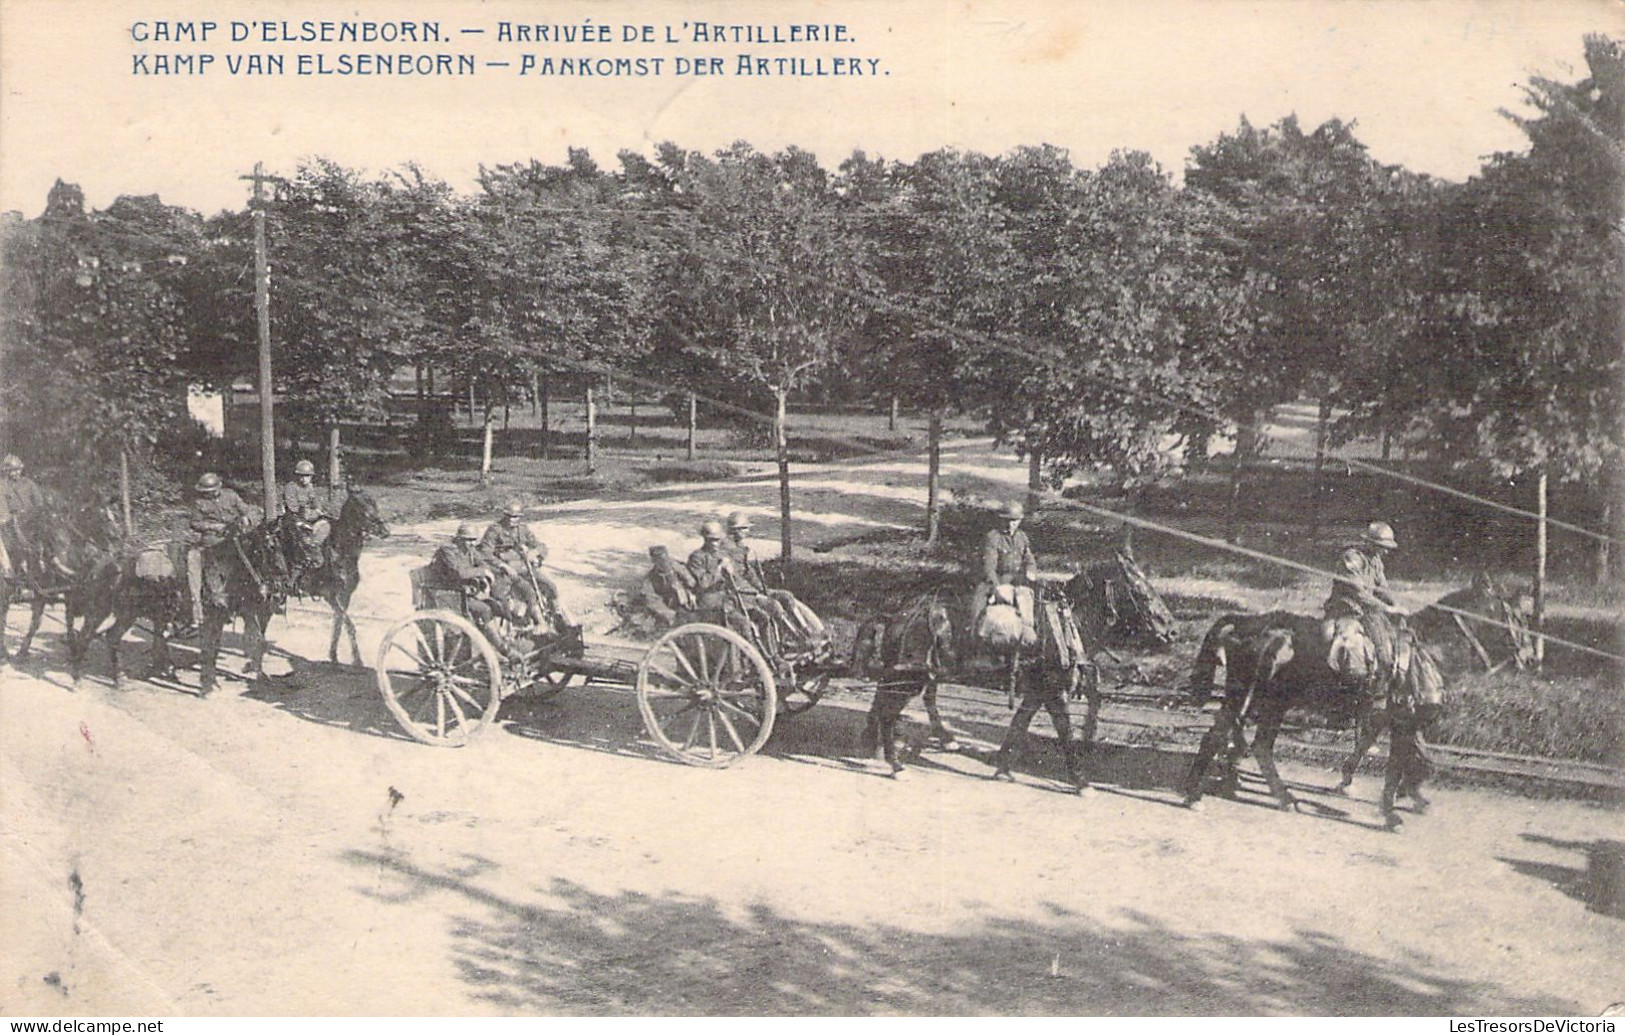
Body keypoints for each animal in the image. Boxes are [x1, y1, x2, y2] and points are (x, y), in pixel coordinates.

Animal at [71, 516, 290, 695]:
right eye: (270, 545)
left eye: (281, 545)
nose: (284, 576)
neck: (221, 569)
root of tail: (104, 561)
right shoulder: (209, 620)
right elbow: (208, 650)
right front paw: (206, 688)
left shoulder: (219, 619)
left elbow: (215, 650)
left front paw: (212, 683)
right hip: (101, 609)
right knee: (85, 637)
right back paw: (77, 680)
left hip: (126, 613)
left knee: (111, 637)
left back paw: (119, 680)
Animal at [271, 490, 391, 666]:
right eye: (361, 506)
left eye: (374, 503)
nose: (385, 531)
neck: (341, 551)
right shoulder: (331, 596)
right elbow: (348, 624)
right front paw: (357, 660)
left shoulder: (345, 596)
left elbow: (339, 624)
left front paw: (334, 656)